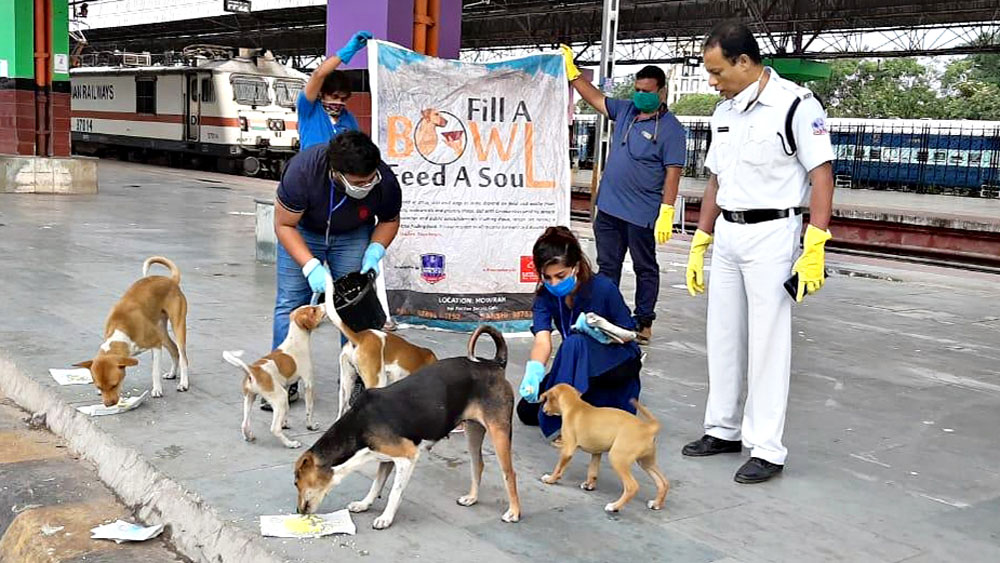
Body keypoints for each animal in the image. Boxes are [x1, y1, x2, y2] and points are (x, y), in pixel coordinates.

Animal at [74, 258, 189, 408]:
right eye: (99, 386)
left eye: (114, 385)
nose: (108, 405)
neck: (121, 327)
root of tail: (171, 280)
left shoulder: (155, 344)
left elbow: (155, 371)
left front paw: (157, 390)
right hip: (161, 332)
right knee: (174, 349)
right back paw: (172, 374)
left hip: (177, 326)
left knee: (183, 356)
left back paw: (184, 383)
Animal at [222, 304, 324, 450]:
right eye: (313, 310)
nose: (324, 304)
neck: (296, 340)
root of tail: (253, 370)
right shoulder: (308, 383)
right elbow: (309, 409)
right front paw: (310, 426)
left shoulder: (286, 386)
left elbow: (287, 411)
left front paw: (285, 423)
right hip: (279, 397)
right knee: (274, 429)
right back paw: (290, 443)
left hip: (250, 398)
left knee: (244, 423)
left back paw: (249, 436)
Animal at [540, 386, 672, 512]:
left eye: (547, 399)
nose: (543, 409)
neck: (575, 406)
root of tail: (648, 428)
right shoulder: (596, 452)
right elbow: (593, 471)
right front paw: (589, 485)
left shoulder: (568, 450)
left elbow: (558, 468)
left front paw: (551, 479)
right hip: (646, 462)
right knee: (663, 482)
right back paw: (656, 504)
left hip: (618, 458)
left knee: (632, 486)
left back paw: (614, 507)